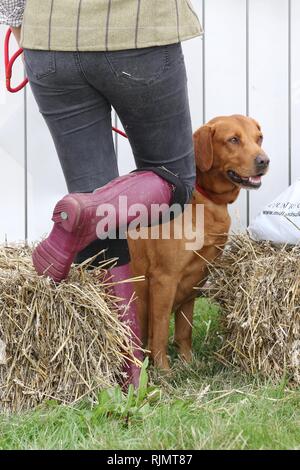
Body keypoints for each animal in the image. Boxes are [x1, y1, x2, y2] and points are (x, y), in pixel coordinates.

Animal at [127, 114, 268, 370]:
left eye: (259, 138)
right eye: (233, 139)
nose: (264, 161)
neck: (205, 202)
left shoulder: (196, 276)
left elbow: (185, 328)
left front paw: (188, 362)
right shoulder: (164, 279)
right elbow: (161, 329)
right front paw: (164, 369)